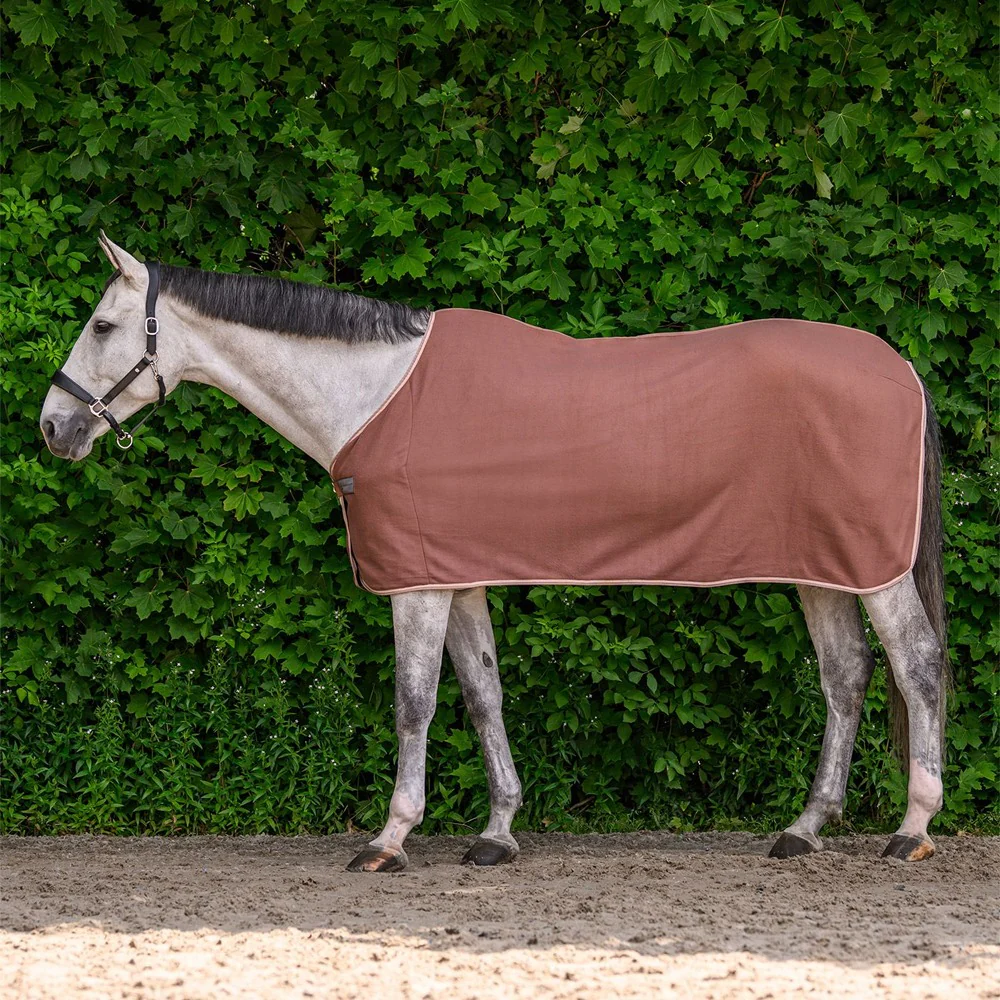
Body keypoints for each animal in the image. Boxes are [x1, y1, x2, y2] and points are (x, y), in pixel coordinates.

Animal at [40, 234, 949, 871]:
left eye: (103, 324)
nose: (55, 426)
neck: (375, 394)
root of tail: (903, 367)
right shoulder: (457, 574)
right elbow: (483, 694)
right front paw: (499, 832)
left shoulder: (417, 584)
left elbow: (414, 704)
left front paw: (389, 839)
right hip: (821, 567)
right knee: (845, 675)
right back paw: (804, 829)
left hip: (876, 567)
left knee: (916, 663)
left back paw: (912, 828)